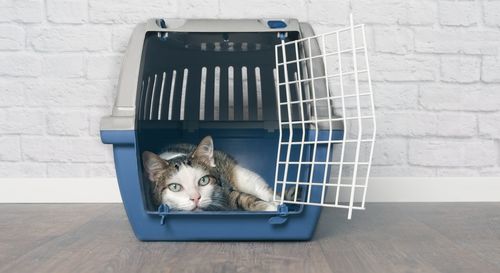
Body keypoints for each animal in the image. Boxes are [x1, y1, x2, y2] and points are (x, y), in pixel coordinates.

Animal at [141, 135, 282, 210]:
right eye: (175, 187)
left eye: (203, 180)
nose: (196, 198)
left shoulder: (224, 189)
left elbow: (242, 197)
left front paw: (270, 208)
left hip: (244, 177)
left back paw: (276, 201)